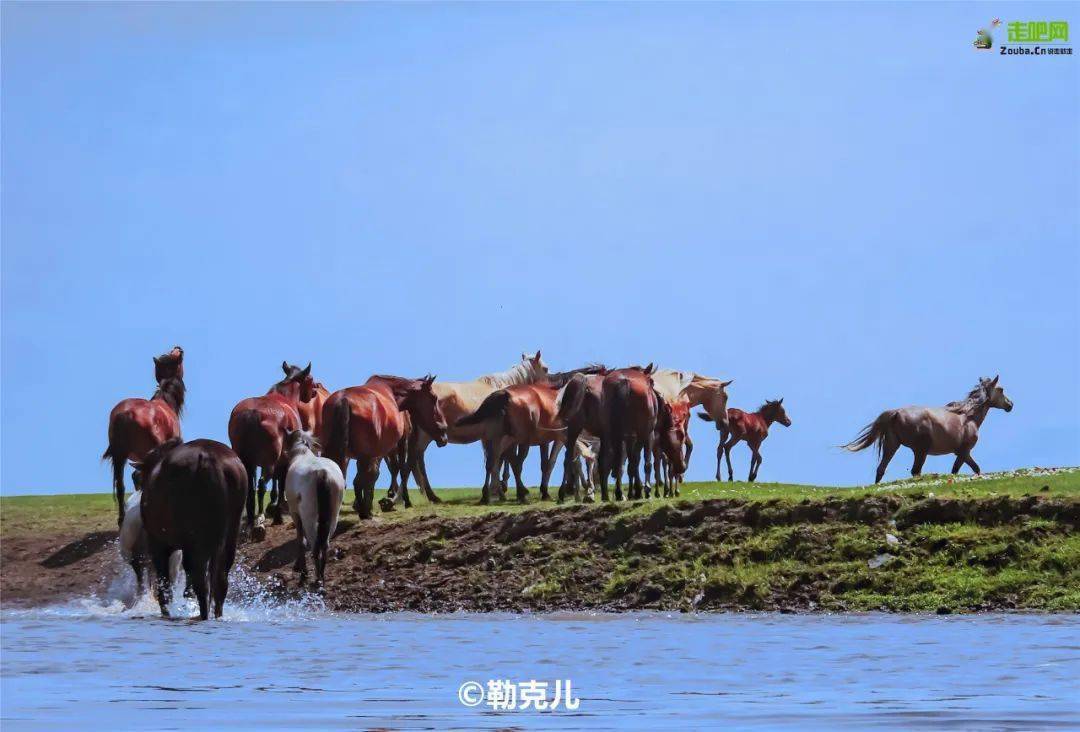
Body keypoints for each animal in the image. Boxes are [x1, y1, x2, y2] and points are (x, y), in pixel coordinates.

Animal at [103, 345, 185, 526]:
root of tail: (125, 414)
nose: (178, 347)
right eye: (177, 356)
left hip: (120, 456)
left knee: (121, 486)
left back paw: (122, 518)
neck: (165, 401)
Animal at [135, 438, 247, 621]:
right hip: (229, 534)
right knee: (219, 582)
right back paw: (215, 615)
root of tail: (209, 458)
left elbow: (164, 583)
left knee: (200, 582)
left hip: (193, 541)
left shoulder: (158, 544)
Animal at [282, 429, 345, 583]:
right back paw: (321, 575)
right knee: (324, 544)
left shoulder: (295, 513)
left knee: (314, 545)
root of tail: (323, 472)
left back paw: (316, 577)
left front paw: (302, 569)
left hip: (308, 517)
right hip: (333, 517)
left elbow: (301, 540)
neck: (302, 454)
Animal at [319, 377, 447, 522]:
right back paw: (364, 513)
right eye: (434, 398)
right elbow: (400, 470)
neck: (394, 396)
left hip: (335, 453)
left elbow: (376, 475)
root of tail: (343, 400)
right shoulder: (401, 443)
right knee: (359, 480)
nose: (444, 433)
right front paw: (405, 501)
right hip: (365, 456)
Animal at [842, 377, 1010, 488]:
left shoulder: (963, 453)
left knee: (881, 469)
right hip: (920, 450)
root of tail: (896, 412)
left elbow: (970, 469)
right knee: (915, 471)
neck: (968, 417)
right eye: (1001, 389)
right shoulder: (964, 451)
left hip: (892, 444)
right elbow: (962, 470)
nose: (1010, 404)